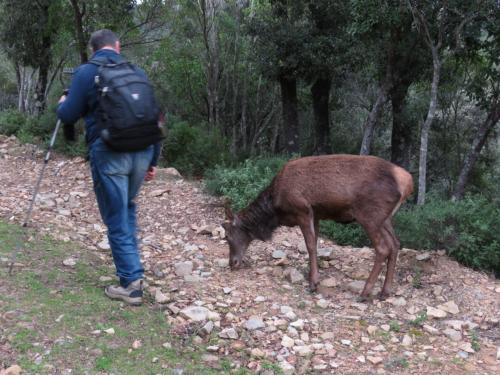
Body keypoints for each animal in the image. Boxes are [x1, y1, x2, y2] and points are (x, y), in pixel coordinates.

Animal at [223, 154, 414, 302]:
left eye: (228, 236)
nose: (232, 263)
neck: (275, 209)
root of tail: (407, 181)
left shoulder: (302, 210)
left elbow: (310, 245)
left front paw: (313, 283)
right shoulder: (316, 215)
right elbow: (314, 243)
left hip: (370, 215)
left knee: (383, 247)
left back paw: (365, 292)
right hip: (385, 219)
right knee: (395, 244)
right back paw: (385, 292)